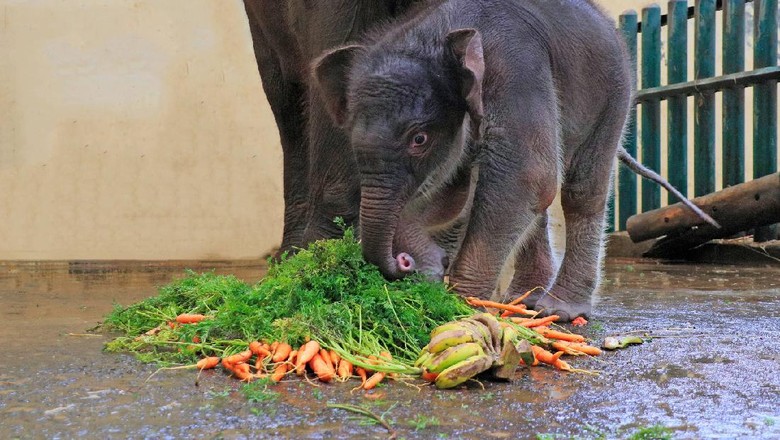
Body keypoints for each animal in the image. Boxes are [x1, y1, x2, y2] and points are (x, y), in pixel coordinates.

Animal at [312, 0, 632, 320]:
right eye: (352, 140)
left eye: (419, 139)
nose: (404, 261)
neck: (433, 35)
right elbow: (455, 195)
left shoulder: (516, 68)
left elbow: (529, 176)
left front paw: (460, 309)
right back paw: (522, 300)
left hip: (613, 93)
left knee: (581, 192)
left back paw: (559, 310)